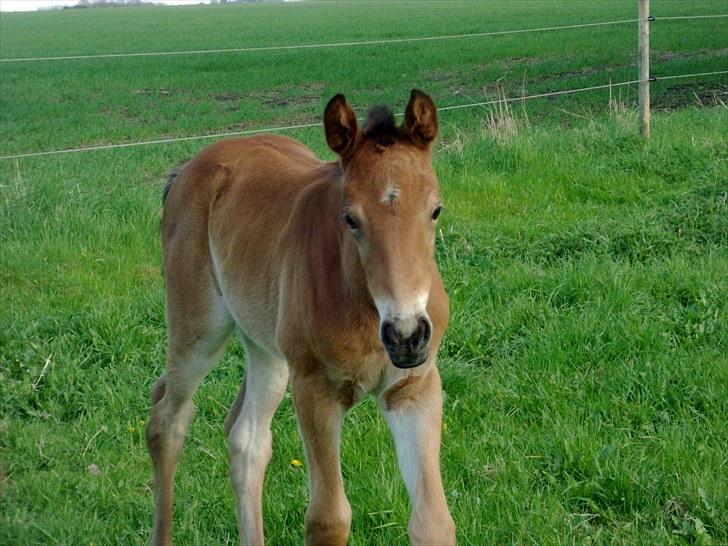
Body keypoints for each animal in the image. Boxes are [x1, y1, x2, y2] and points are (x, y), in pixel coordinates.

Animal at [146, 89, 456, 544]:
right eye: (350, 218)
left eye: (435, 210)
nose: (405, 335)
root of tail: (189, 166)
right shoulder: (315, 389)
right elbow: (328, 518)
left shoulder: (413, 389)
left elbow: (433, 519)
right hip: (198, 328)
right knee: (166, 420)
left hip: (267, 350)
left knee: (246, 439)